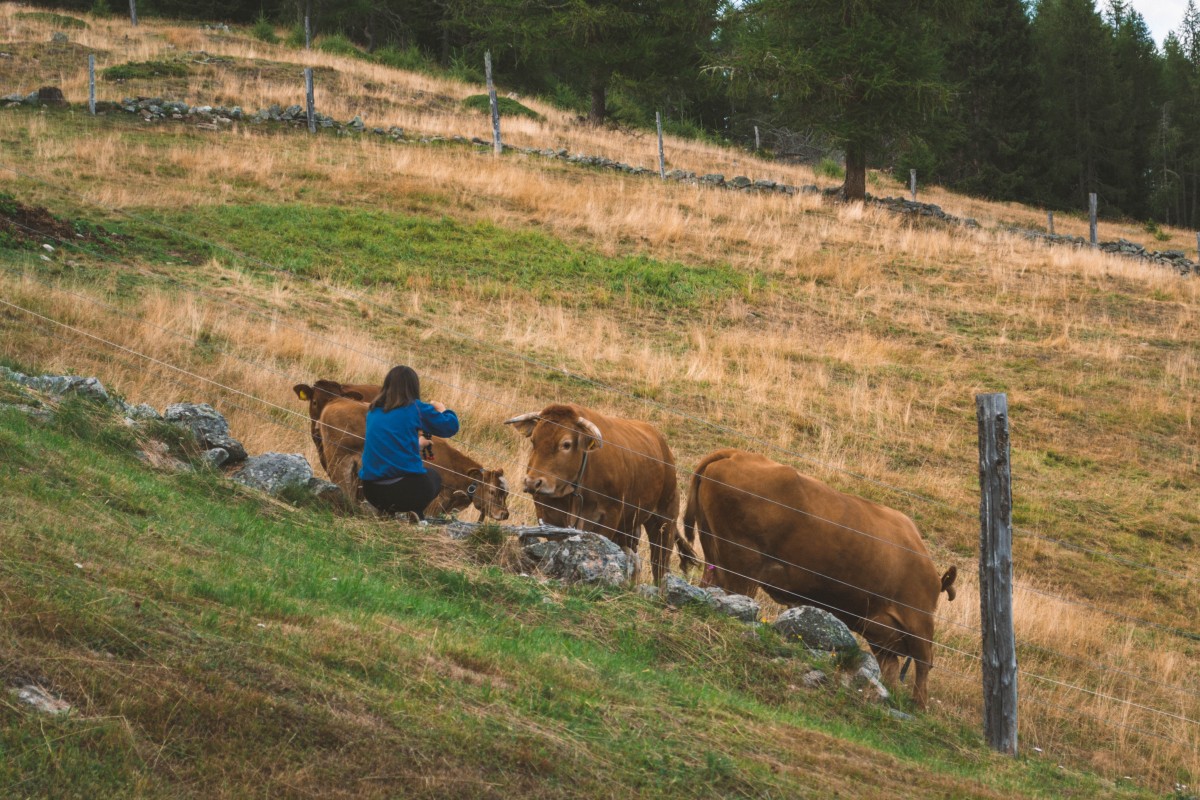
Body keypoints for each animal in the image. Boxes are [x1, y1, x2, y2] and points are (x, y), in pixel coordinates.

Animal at [504, 407, 696, 582]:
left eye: (566, 444)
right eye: (534, 441)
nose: (532, 482)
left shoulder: (609, 516)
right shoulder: (548, 516)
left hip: (665, 518)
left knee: (660, 564)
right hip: (630, 526)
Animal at [686, 448, 955, 710]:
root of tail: (735, 454)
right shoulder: (918, 619)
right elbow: (923, 662)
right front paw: (919, 706)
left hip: (715, 553)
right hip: (741, 565)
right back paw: (918, 705)